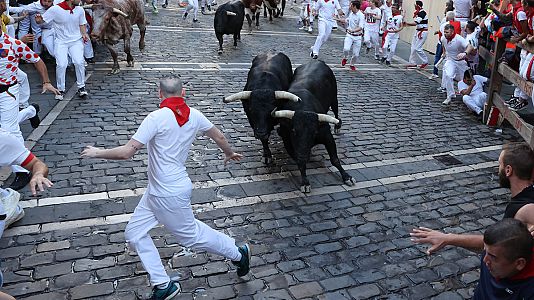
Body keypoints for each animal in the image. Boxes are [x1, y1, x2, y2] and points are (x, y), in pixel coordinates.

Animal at [272, 60, 356, 193]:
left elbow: (335, 159)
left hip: (334, 97)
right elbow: (300, 162)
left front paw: (347, 177)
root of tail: (317, 61)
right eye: (293, 131)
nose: (304, 155)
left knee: (336, 112)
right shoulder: (288, 142)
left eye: (314, 132)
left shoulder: (327, 136)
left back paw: (338, 126)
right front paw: (305, 182)